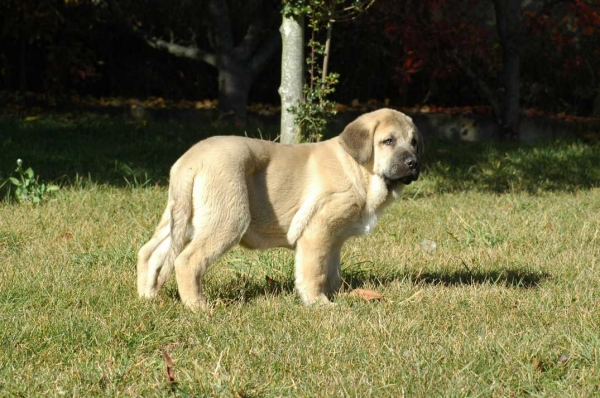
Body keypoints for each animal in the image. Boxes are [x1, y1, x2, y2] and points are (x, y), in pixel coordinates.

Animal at [139, 109, 424, 310]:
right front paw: (319, 303)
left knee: (150, 253)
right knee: (186, 261)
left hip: (181, 220)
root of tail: (190, 161)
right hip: (227, 219)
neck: (357, 169)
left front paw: (339, 294)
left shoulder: (334, 239)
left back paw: (146, 296)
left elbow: (331, 271)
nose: (413, 163)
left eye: (414, 143)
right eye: (388, 141)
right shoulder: (317, 231)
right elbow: (314, 270)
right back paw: (197, 307)